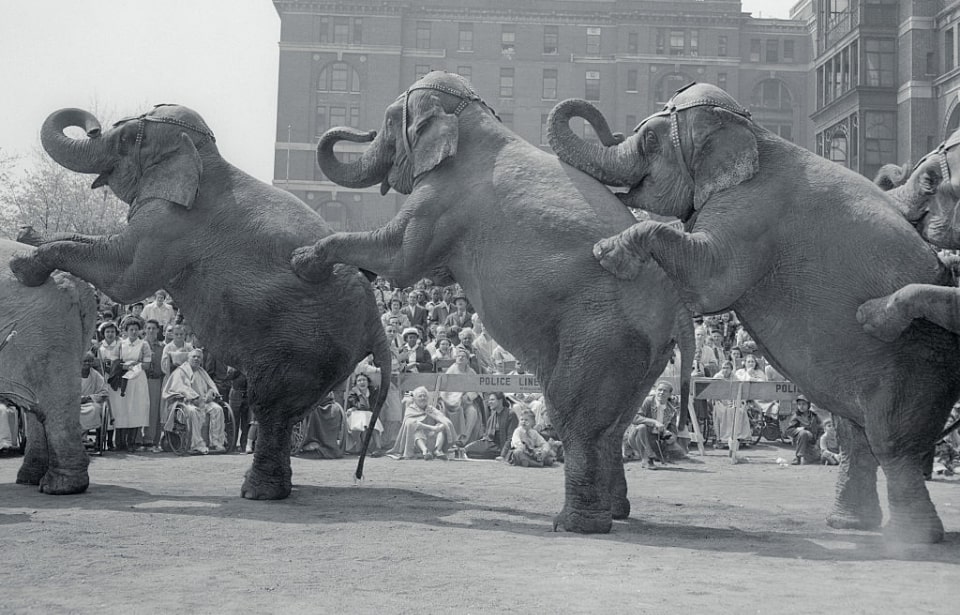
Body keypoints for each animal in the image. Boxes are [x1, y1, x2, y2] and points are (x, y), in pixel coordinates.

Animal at [0, 238, 97, 494]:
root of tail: (80, 287)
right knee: (35, 408)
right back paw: (30, 478)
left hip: (46, 332)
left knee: (53, 404)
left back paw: (60, 487)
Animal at [290, 71, 694, 534]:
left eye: (391, 122)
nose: (364, 130)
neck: (476, 122)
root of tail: (676, 310)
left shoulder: (442, 200)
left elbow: (399, 257)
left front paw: (303, 260)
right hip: (644, 356)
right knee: (615, 424)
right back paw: (616, 513)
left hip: (604, 337)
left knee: (575, 416)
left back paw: (574, 524)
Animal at [547, 83, 960, 543]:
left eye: (651, 140)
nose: (615, 131)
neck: (754, 132)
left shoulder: (753, 211)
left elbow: (710, 281)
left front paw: (609, 253)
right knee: (855, 435)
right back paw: (850, 524)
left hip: (917, 366)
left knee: (892, 443)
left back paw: (912, 540)